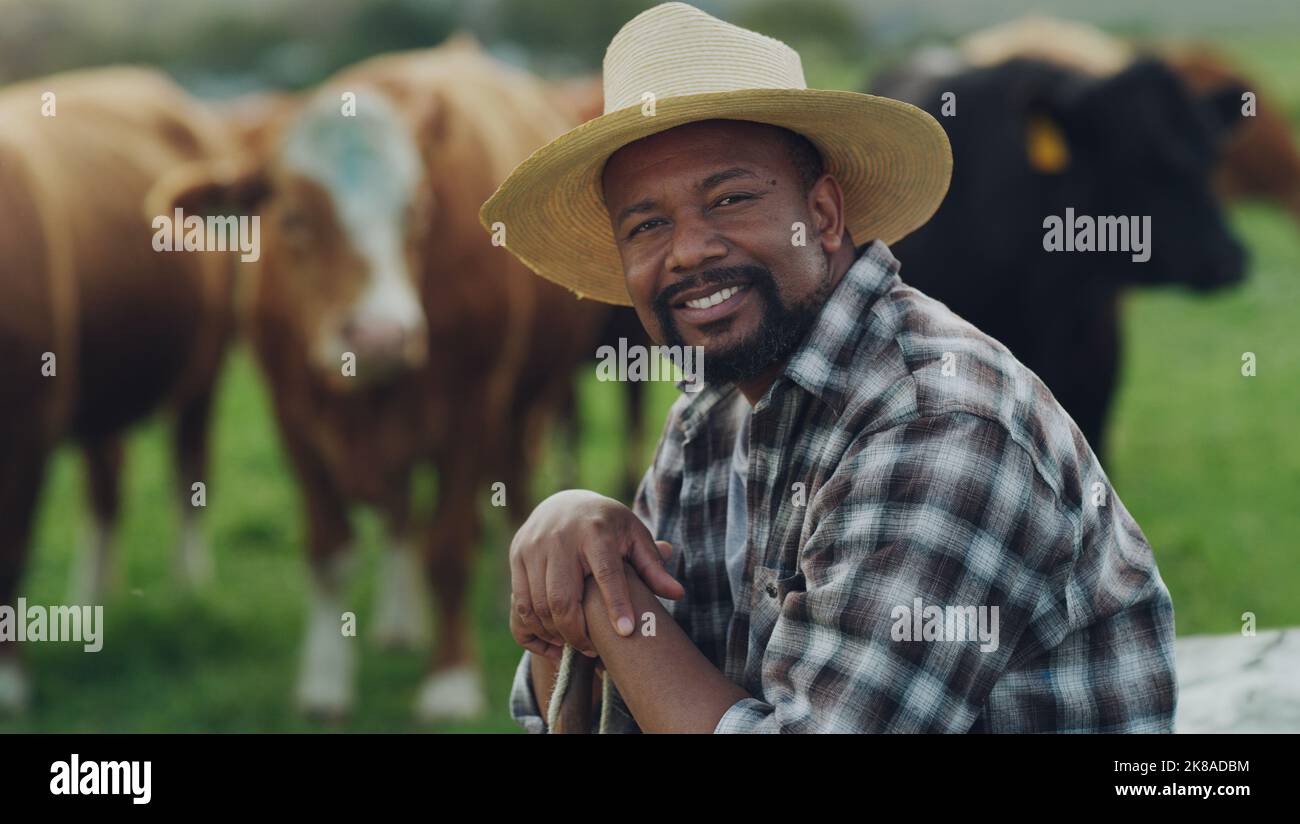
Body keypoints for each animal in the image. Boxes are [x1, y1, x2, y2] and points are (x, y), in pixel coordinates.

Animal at [0, 67, 237, 707]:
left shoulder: (28, 424)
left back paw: (190, 590)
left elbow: (13, 550)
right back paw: (90, 605)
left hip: (207, 366)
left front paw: (10, 684)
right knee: (106, 486)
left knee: (190, 467)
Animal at [154, 38, 611, 717]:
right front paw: (323, 682)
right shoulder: (292, 415)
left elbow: (448, 547)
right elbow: (330, 549)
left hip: (527, 402)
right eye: (293, 217)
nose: (380, 336)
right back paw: (399, 622)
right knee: (399, 514)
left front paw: (450, 681)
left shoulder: (471, 408)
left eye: (414, 211)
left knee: (509, 495)